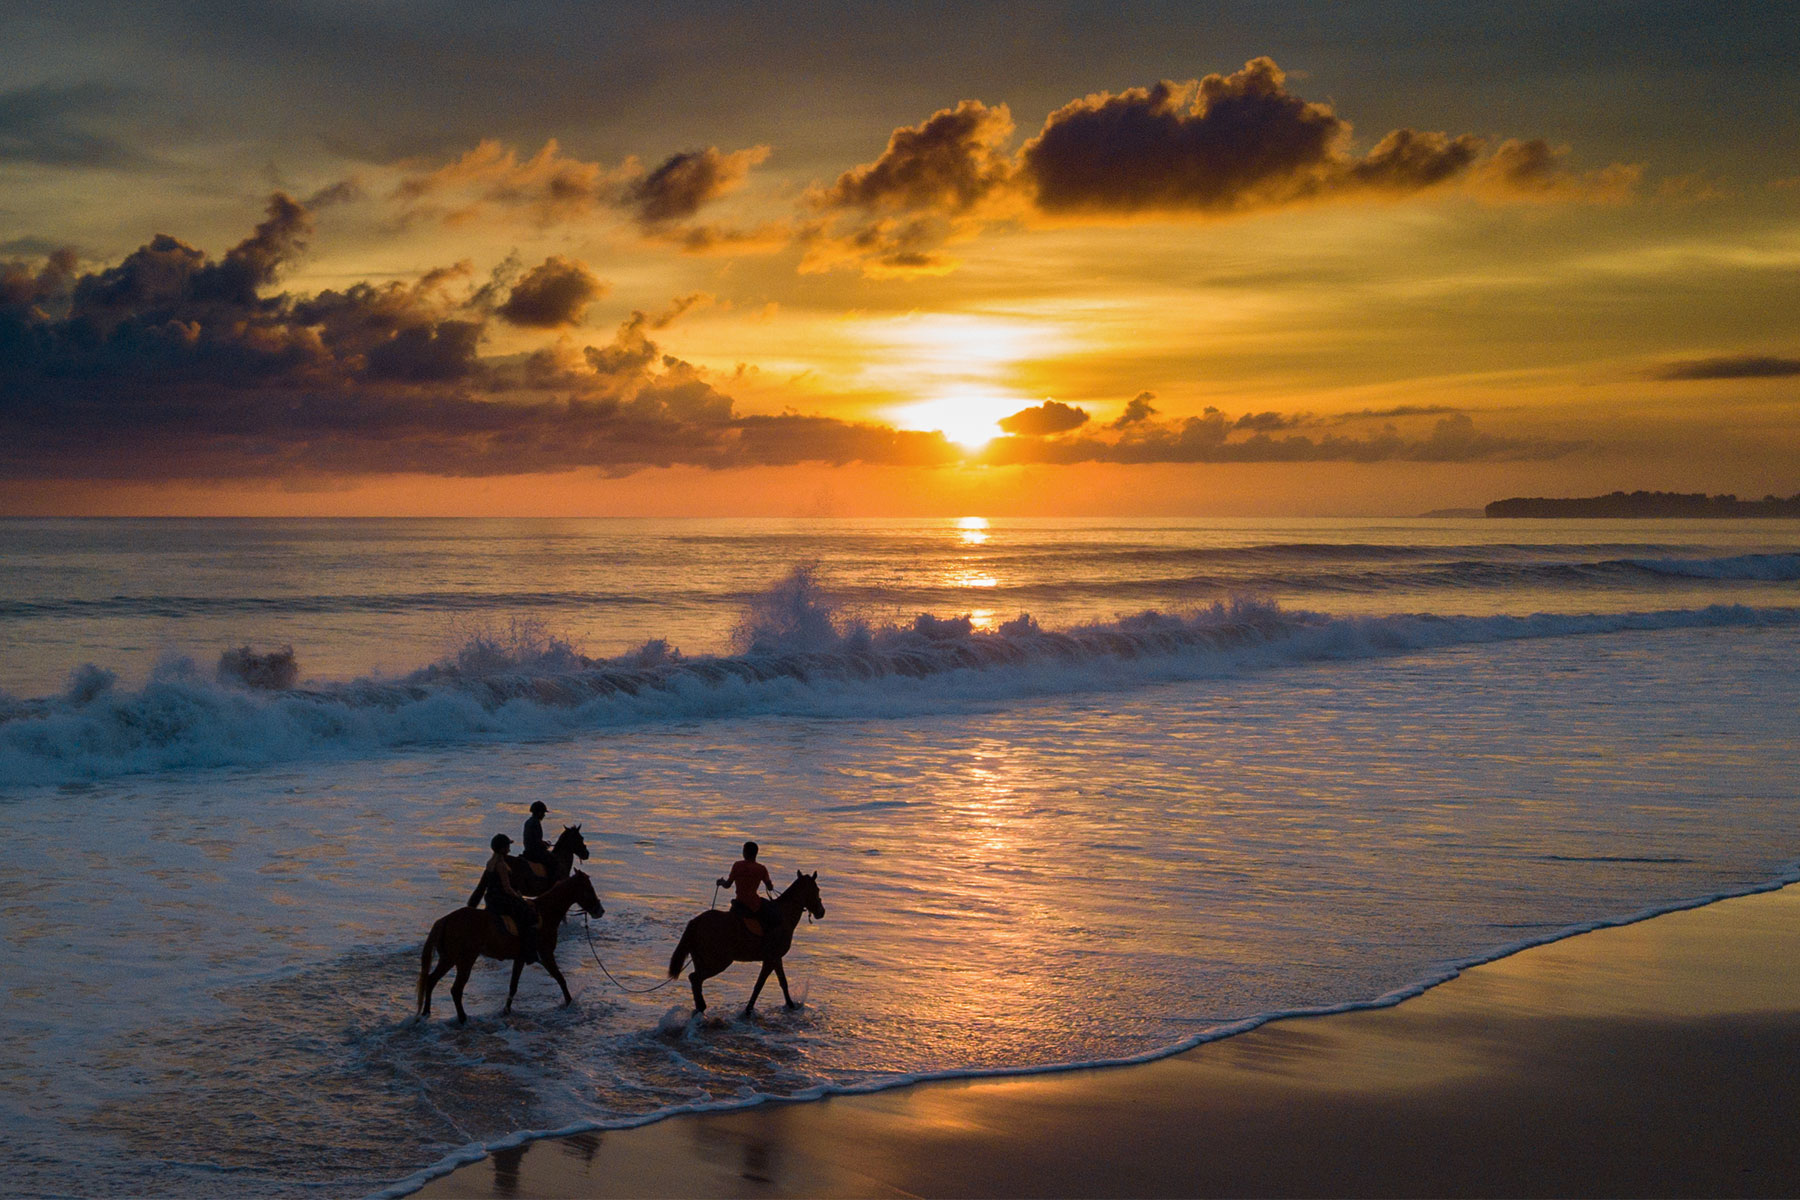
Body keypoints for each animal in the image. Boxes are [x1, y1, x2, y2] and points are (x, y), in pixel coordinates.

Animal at [416, 869, 603, 1022]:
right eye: (588, 889)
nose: (600, 911)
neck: (545, 913)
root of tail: (446, 920)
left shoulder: (520, 958)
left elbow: (513, 986)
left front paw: (506, 1010)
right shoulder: (546, 954)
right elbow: (560, 978)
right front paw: (570, 1003)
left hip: (448, 958)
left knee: (431, 980)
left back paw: (426, 1012)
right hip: (465, 960)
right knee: (455, 989)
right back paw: (462, 1018)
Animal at [668, 871, 824, 1015]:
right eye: (816, 890)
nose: (821, 912)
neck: (784, 915)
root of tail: (696, 922)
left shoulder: (775, 958)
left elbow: (782, 982)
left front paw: (790, 1004)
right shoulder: (771, 958)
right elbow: (760, 984)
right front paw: (749, 1009)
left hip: (703, 960)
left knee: (695, 980)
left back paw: (699, 1007)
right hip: (718, 962)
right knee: (695, 978)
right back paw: (701, 1007)